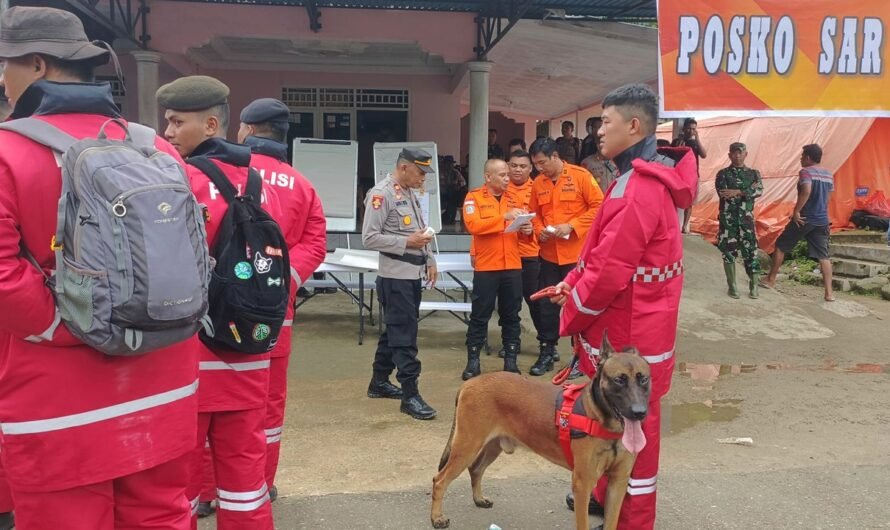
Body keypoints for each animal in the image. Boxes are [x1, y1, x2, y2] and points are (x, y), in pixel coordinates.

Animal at [428, 334, 644, 528]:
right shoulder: (583, 484)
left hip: (492, 446)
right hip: (466, 447)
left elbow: (611, 521)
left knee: (476, 469)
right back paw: (437, 518)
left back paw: (479, 499)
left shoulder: (618, 483)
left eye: (644, 380)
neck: (601, 418)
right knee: (439, 480)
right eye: (619, 380)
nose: (639, 412)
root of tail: (469, 383)